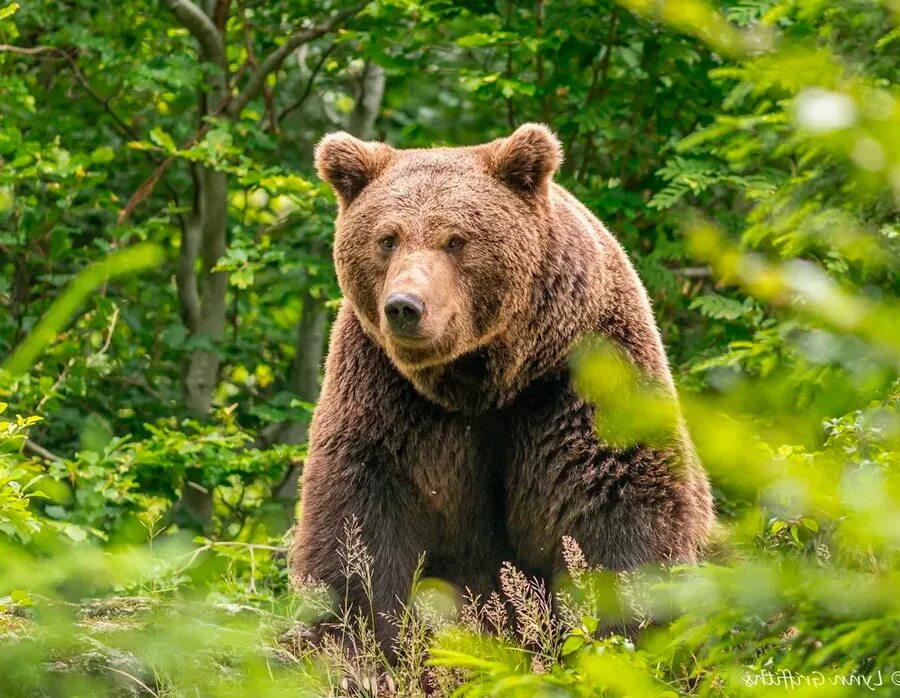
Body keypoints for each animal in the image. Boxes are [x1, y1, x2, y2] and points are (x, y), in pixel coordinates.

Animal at [292, 123, 712, 652]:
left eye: (455, 239)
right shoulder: (385, 396)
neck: (482, 379)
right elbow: (359, 528)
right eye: (387, 238)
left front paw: (630, 631)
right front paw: (355, 644)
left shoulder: (578, 380)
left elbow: (617, 506)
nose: (405, 306)